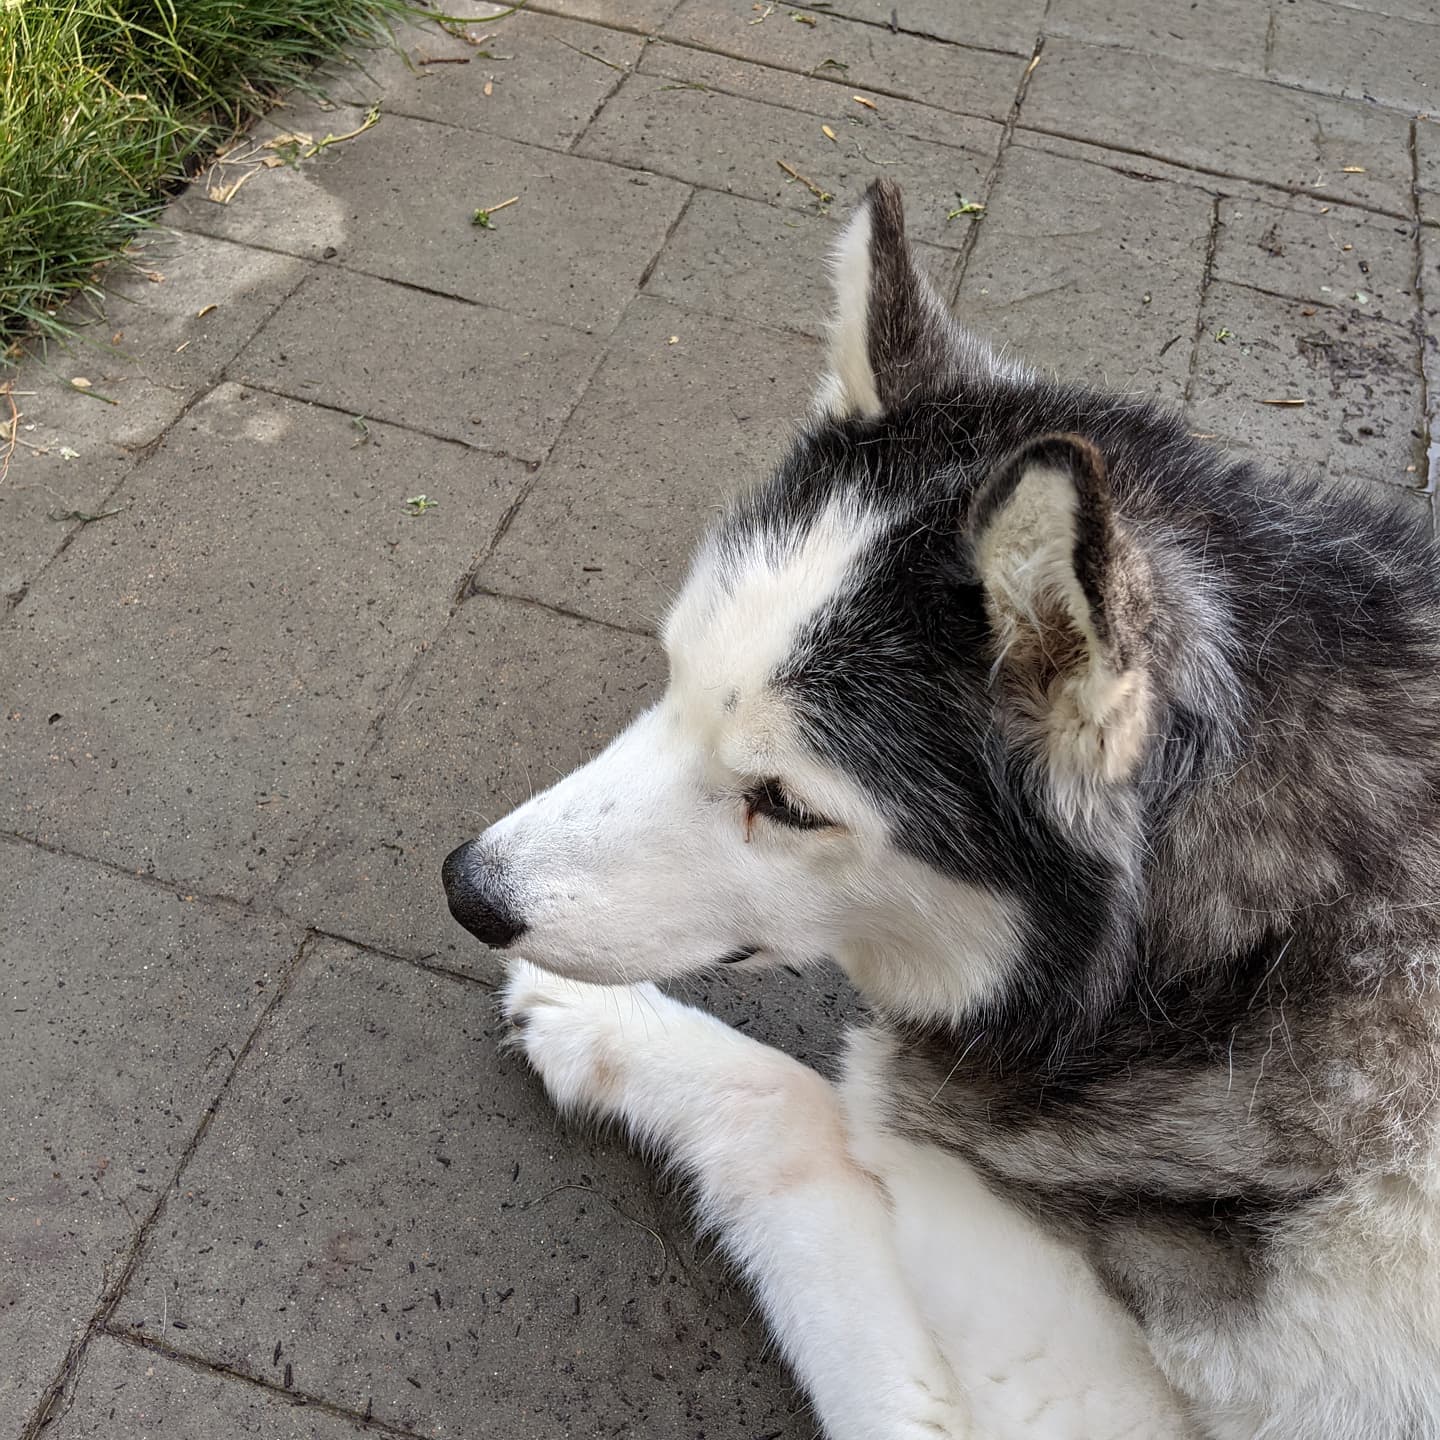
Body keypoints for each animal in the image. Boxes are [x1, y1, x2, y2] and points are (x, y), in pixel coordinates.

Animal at [440, 182, 1440, 1440]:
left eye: (787, 803)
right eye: (670, 676)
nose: (470, 892)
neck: (1246, 962)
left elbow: (810, 1115)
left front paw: (606, 1023)